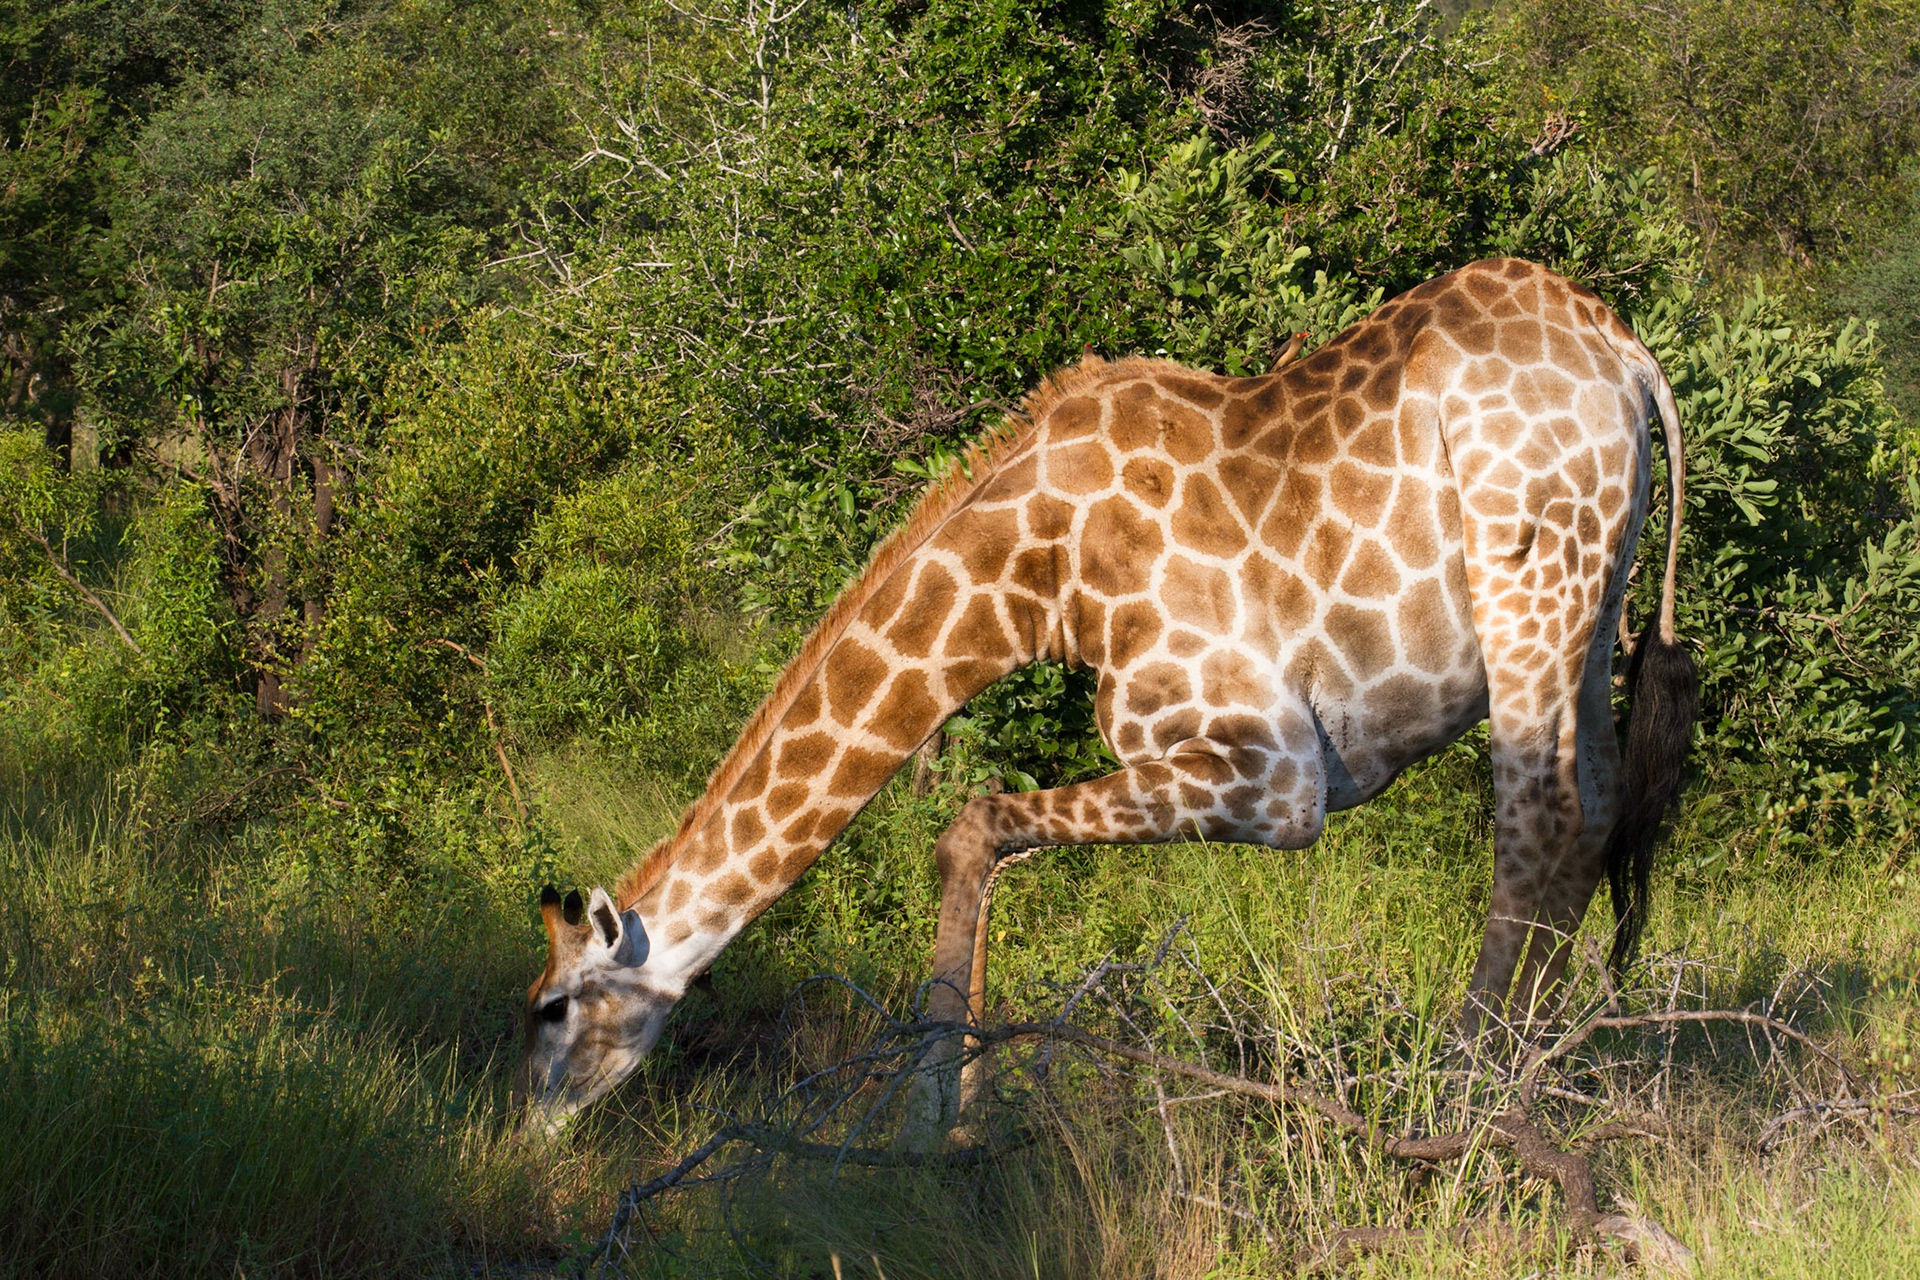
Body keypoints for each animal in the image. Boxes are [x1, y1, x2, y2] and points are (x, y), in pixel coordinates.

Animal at [515, 258, 1696, 1138]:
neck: (1038, 581)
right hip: (1596, 594)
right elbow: (991, 840)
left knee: (1539, 816)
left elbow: (969, 823)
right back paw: (1536, 1076)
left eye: (551, 1005)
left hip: (1528, 574)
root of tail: (1626, 356)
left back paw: (1456, 1095)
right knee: (1593, 813)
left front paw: (925, 1125)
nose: (529, 1128)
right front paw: (964, 1108)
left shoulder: (1277, 777)